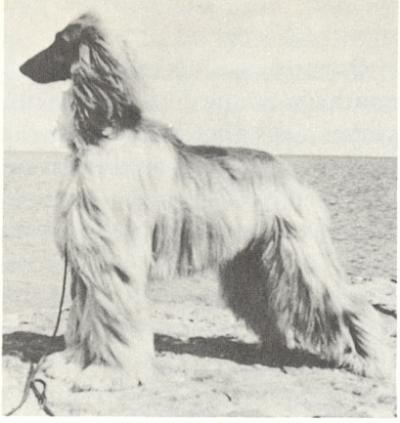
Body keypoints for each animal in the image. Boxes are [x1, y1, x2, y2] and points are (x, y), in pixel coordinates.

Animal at [19, 12, 385, 391]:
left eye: (59, 41)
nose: (21, 67)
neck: (105, 135)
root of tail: (289, 173)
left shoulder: (112, 257)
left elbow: (107, 319)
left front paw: (106, 373)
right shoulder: (86, 255)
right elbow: (81, 317)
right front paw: (71, 364)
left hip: (299, 254)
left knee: (349, 305)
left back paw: (371, 361)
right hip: (253, 260)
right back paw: (273, 349)